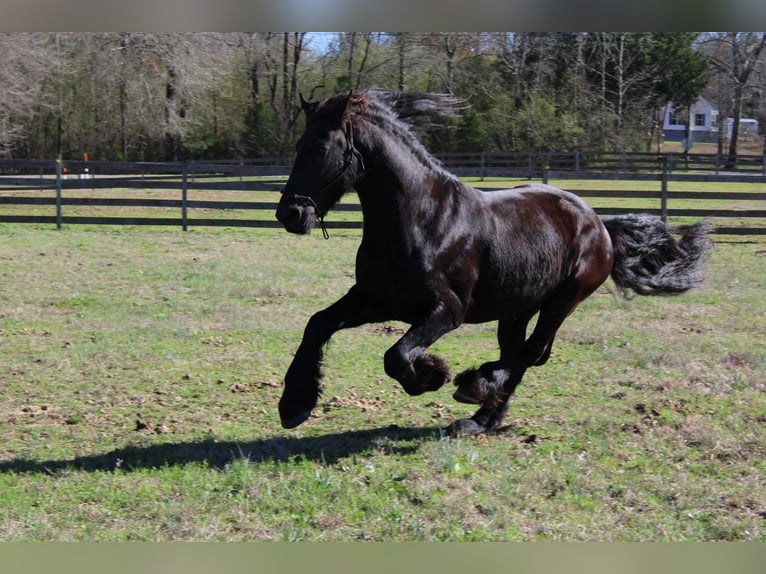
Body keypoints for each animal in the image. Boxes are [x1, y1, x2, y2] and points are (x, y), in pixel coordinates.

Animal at [276, 89, 712, 436]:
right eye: (296, 145)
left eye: (321, 147)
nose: (290, 214)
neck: (421, 219)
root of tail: (599, 224)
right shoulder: (376, 300)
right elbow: (318, 324)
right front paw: (294, 406)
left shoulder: (447, 311)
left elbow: (396, 356)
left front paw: (433, 375)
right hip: (518, 308)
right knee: (521, 353)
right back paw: (482, 418)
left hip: (564, 299)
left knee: (531, 353)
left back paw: (476, 387)